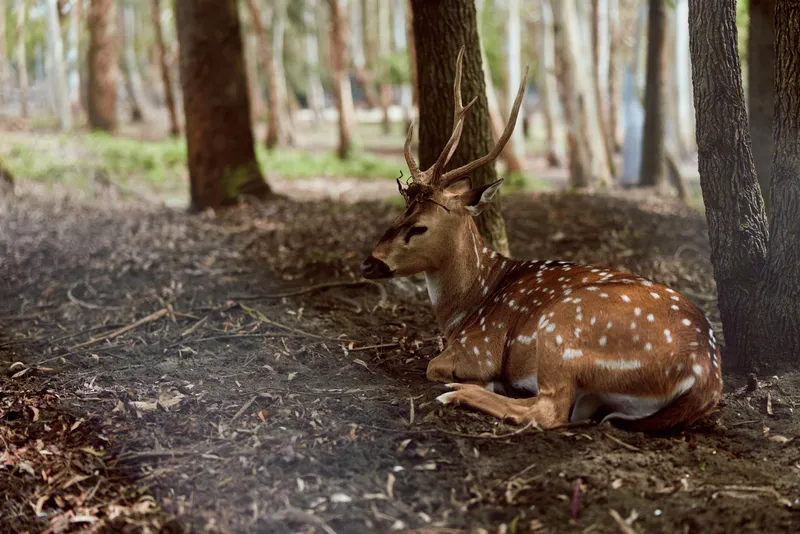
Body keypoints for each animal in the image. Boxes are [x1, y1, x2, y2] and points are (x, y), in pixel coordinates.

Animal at [360, 47, 722, 433]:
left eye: (420, 227)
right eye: (400, 213)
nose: (369, 263)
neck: (468, 307)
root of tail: (703, 376)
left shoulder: (481, 346)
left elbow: (434, 365)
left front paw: (473, 380)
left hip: (561, 328)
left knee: (550, 410)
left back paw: (459, 392)